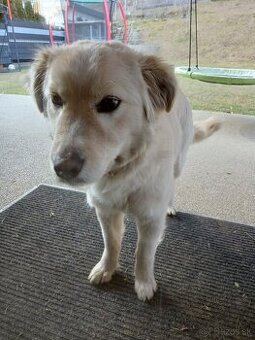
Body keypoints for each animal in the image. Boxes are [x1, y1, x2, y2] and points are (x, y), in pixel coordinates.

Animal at [28, 39, 219, 300]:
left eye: (110, 103)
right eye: (56, 100)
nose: (63, 168)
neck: (122, 169)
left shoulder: (150, 218)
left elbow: (143, 253)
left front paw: (144, 284)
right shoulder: (105, 210)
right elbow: (111, 243)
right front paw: (106, 269)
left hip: (178, 163)